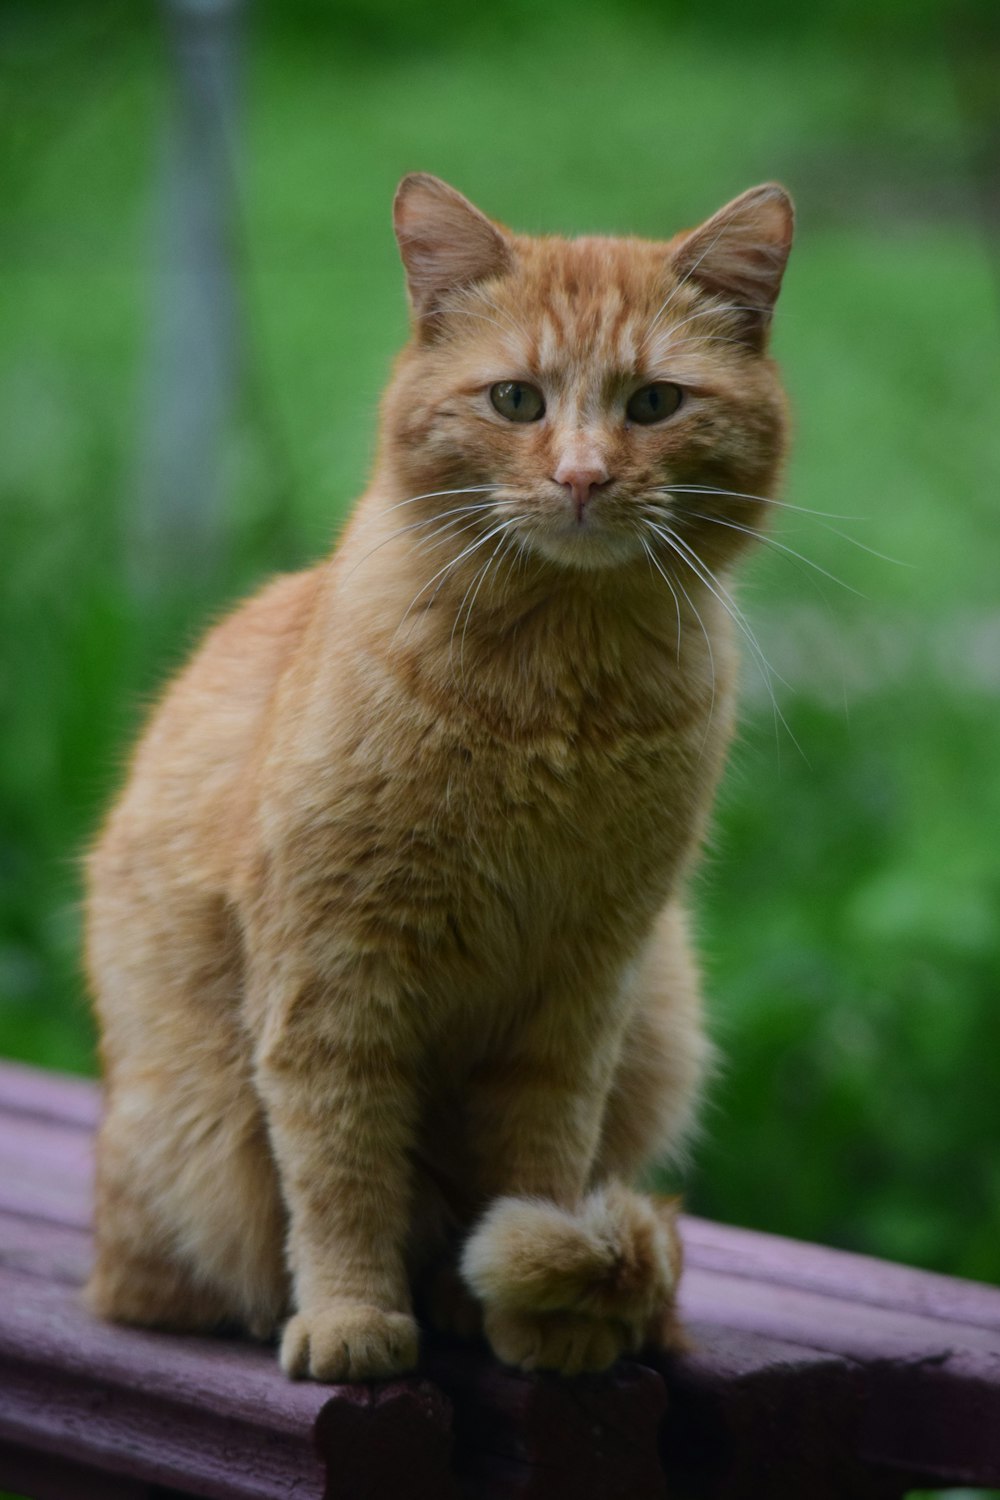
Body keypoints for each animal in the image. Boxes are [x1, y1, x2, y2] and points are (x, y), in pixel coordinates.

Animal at [83, 175, 791, 1380]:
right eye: (516, 399)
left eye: (654, 403)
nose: (582, 476)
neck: (557, 696)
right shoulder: (335, 980)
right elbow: (341, 1173)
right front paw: (353, 1319)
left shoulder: (582, 987)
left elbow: (540, 1166)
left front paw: (539, 1319)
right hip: (185, 1144)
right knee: (165, 1276)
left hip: (662, 1012)